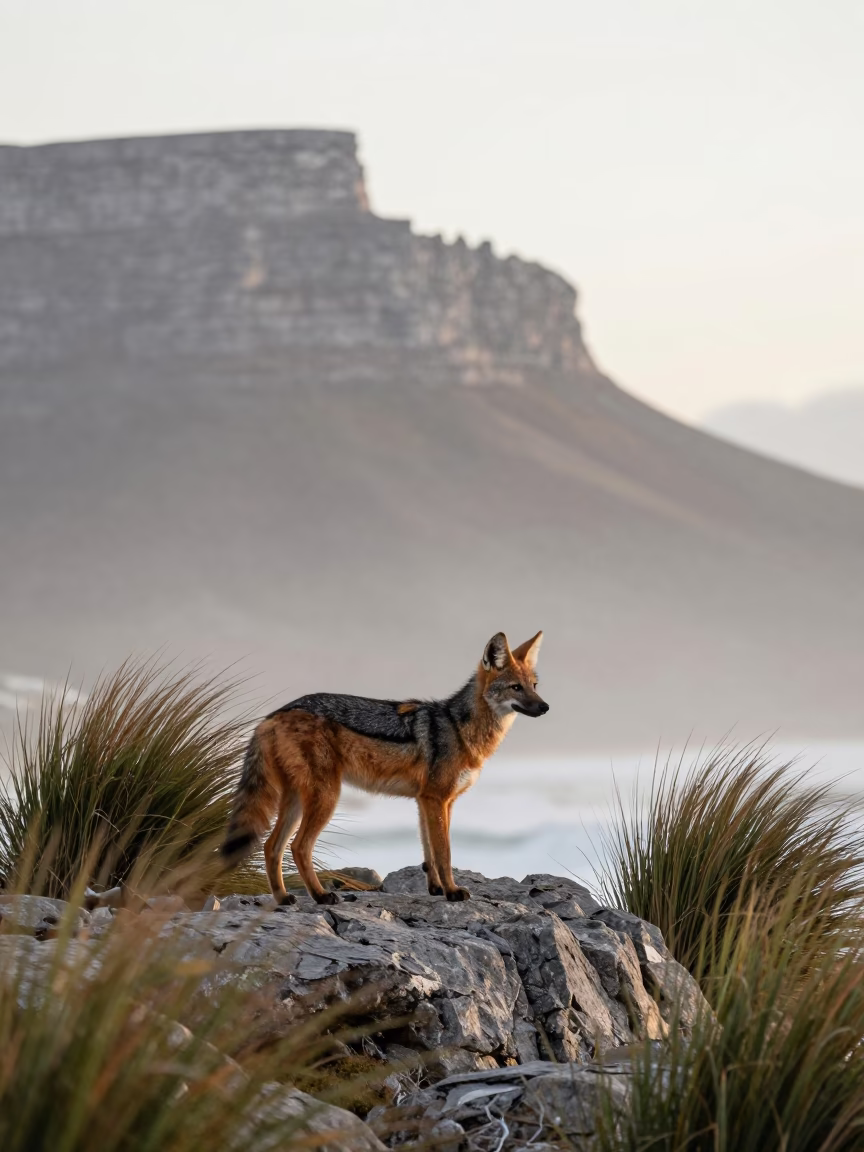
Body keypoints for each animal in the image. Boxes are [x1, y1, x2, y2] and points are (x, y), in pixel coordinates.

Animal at [220, 631, 548, 905]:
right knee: (298, 847)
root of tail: (272, 716)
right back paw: (321, 896)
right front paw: (453, 891)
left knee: (271, 847)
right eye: (516, 688)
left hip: (296, 800)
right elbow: (444, 853)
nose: (545, 707)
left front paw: (436, 889)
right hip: (325, 798)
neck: (459, 727)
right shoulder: (437, 799)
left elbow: (429, 853)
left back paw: (283, 898)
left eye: (534, 686)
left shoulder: (429, 801)